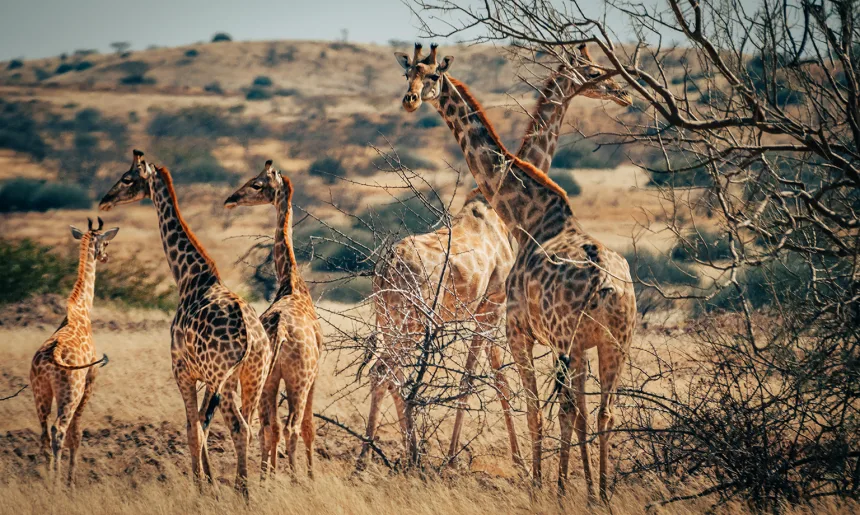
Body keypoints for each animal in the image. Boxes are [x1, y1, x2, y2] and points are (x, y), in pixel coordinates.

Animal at [30, 217, 118, 486]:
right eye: (106, 242)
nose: (106, 256)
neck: (82, 310)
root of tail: (51, 359)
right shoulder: (91, 379)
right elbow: (76, 433)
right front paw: (71, 481)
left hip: (40, 391)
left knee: (44, 432)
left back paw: (44, 478)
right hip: (71, 391)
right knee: (59, 429)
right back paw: (57, 483)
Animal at [99, 150, 271, 498]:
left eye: (127, 178)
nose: (105, 201)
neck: (190, 277)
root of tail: (251, 336)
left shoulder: (181, 369)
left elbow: (192, 427)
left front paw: (202, 487)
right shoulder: (203, 376)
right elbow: (202, 425)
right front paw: (209, 484)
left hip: (223, 378)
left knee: (233, 426)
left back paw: (239, 492)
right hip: (253, 376)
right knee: (249, 426)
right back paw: (244, 488)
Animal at [224, 160, 323, 480]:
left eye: (256, 184)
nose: (231, 199)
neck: (291, 281)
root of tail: (280, 329)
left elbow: (270, 427)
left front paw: (270, 474)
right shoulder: (316, 373)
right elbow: (309, 427)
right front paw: (311, 476)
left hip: (265, 377)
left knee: (266, 426)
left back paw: (266, 476)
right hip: (298, 378)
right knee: (291, 426)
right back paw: (294, 479)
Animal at [358, 43, 630, 471]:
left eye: (431, 74)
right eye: (592, 70)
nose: (623, 93)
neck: (501, 210)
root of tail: (384, 269)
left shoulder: (483, 310)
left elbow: (484, 376)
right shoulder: (495, 305)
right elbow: (488, 378)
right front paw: (503, 460)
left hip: (389, 318)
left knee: (384, 373)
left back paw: (386, 455)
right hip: (410, 320)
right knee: (389, 372)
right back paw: (394, 455)